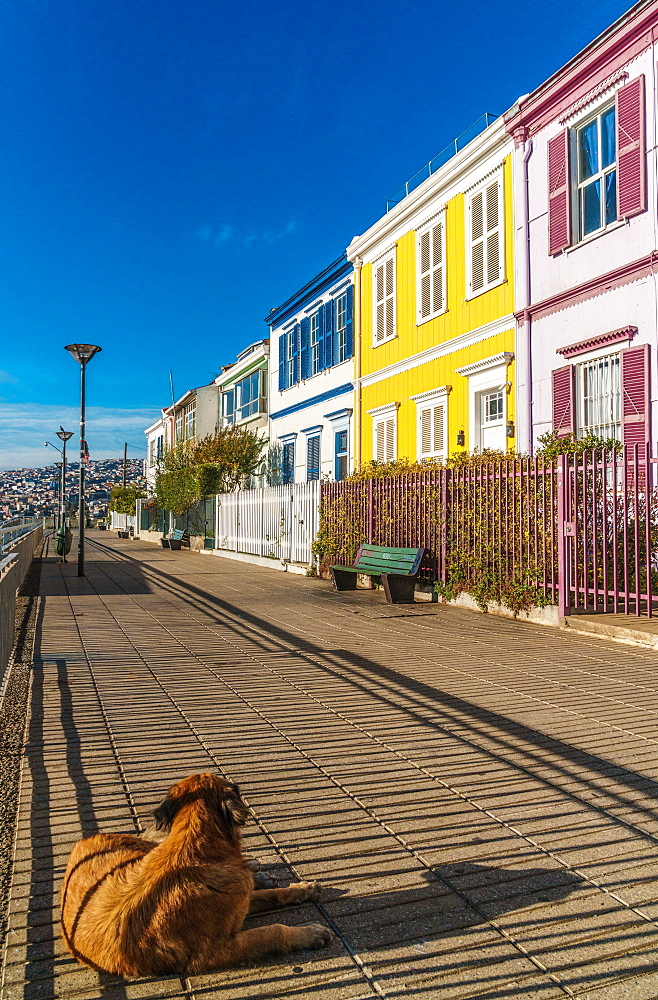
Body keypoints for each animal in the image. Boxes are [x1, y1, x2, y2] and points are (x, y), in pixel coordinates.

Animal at [59, 772, 330, 976]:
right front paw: (308, 933)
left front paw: (302, 889)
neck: (191, 848)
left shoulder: (236, 899)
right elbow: (272, 931)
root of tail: (81, 844)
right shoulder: (213, 952)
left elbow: (272, 894)